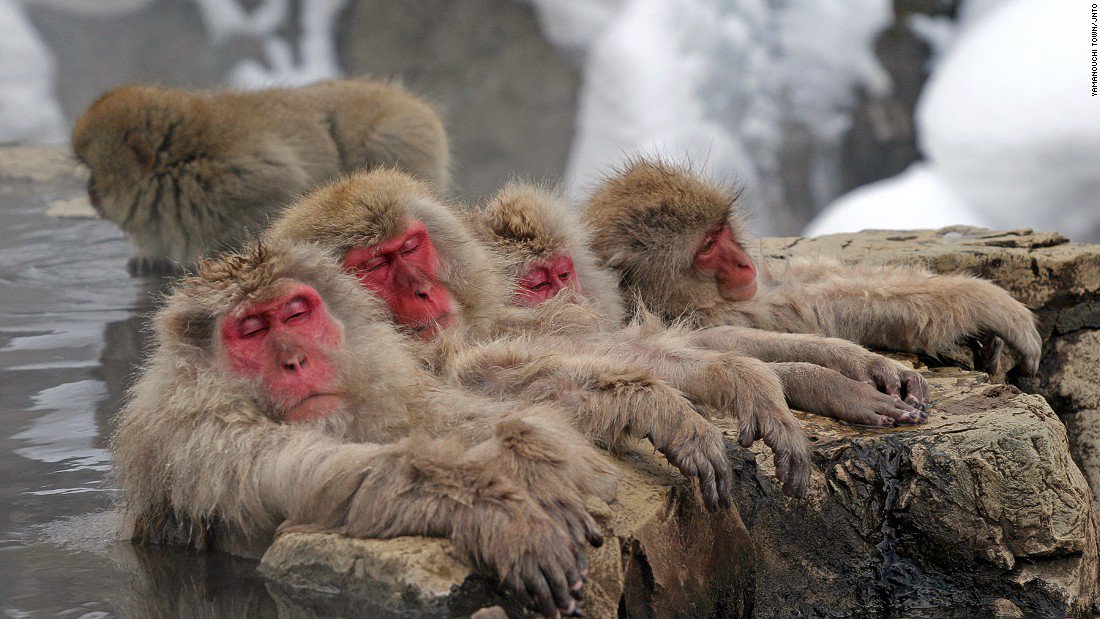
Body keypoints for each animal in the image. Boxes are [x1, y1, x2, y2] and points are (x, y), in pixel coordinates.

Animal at [72, 78, 449, 276]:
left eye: (93, 173)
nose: (89, 193)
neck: (180, 167)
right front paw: (150, 257)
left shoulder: (245, 178)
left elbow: (282, 193)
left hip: (399, 137)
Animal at [111, 239, 624, 617]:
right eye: (252, 330)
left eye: (296, 313)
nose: (296, 360)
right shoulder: (202, 438)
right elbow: (314, 476)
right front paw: (494, 509)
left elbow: (445, 416)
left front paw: (531, 456)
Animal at [263, 168, 810, 499]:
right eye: (375, 265)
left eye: (412, 246)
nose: (423, 290)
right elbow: (486, 396)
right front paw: (657, 407)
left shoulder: (496, 316)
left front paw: (741, 379)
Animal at [472, 181, 929, 428]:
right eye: (538, 285)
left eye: (563, 274)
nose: (573, 297)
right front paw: (832, 387)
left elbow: (704, 341)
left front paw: (849, 364)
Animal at [581, 158, 1043, 380]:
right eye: (707, 247)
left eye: (721, 229)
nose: (743, 262)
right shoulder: (712, 314)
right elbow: (815, 307)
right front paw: (983, 301)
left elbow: (804, 281)